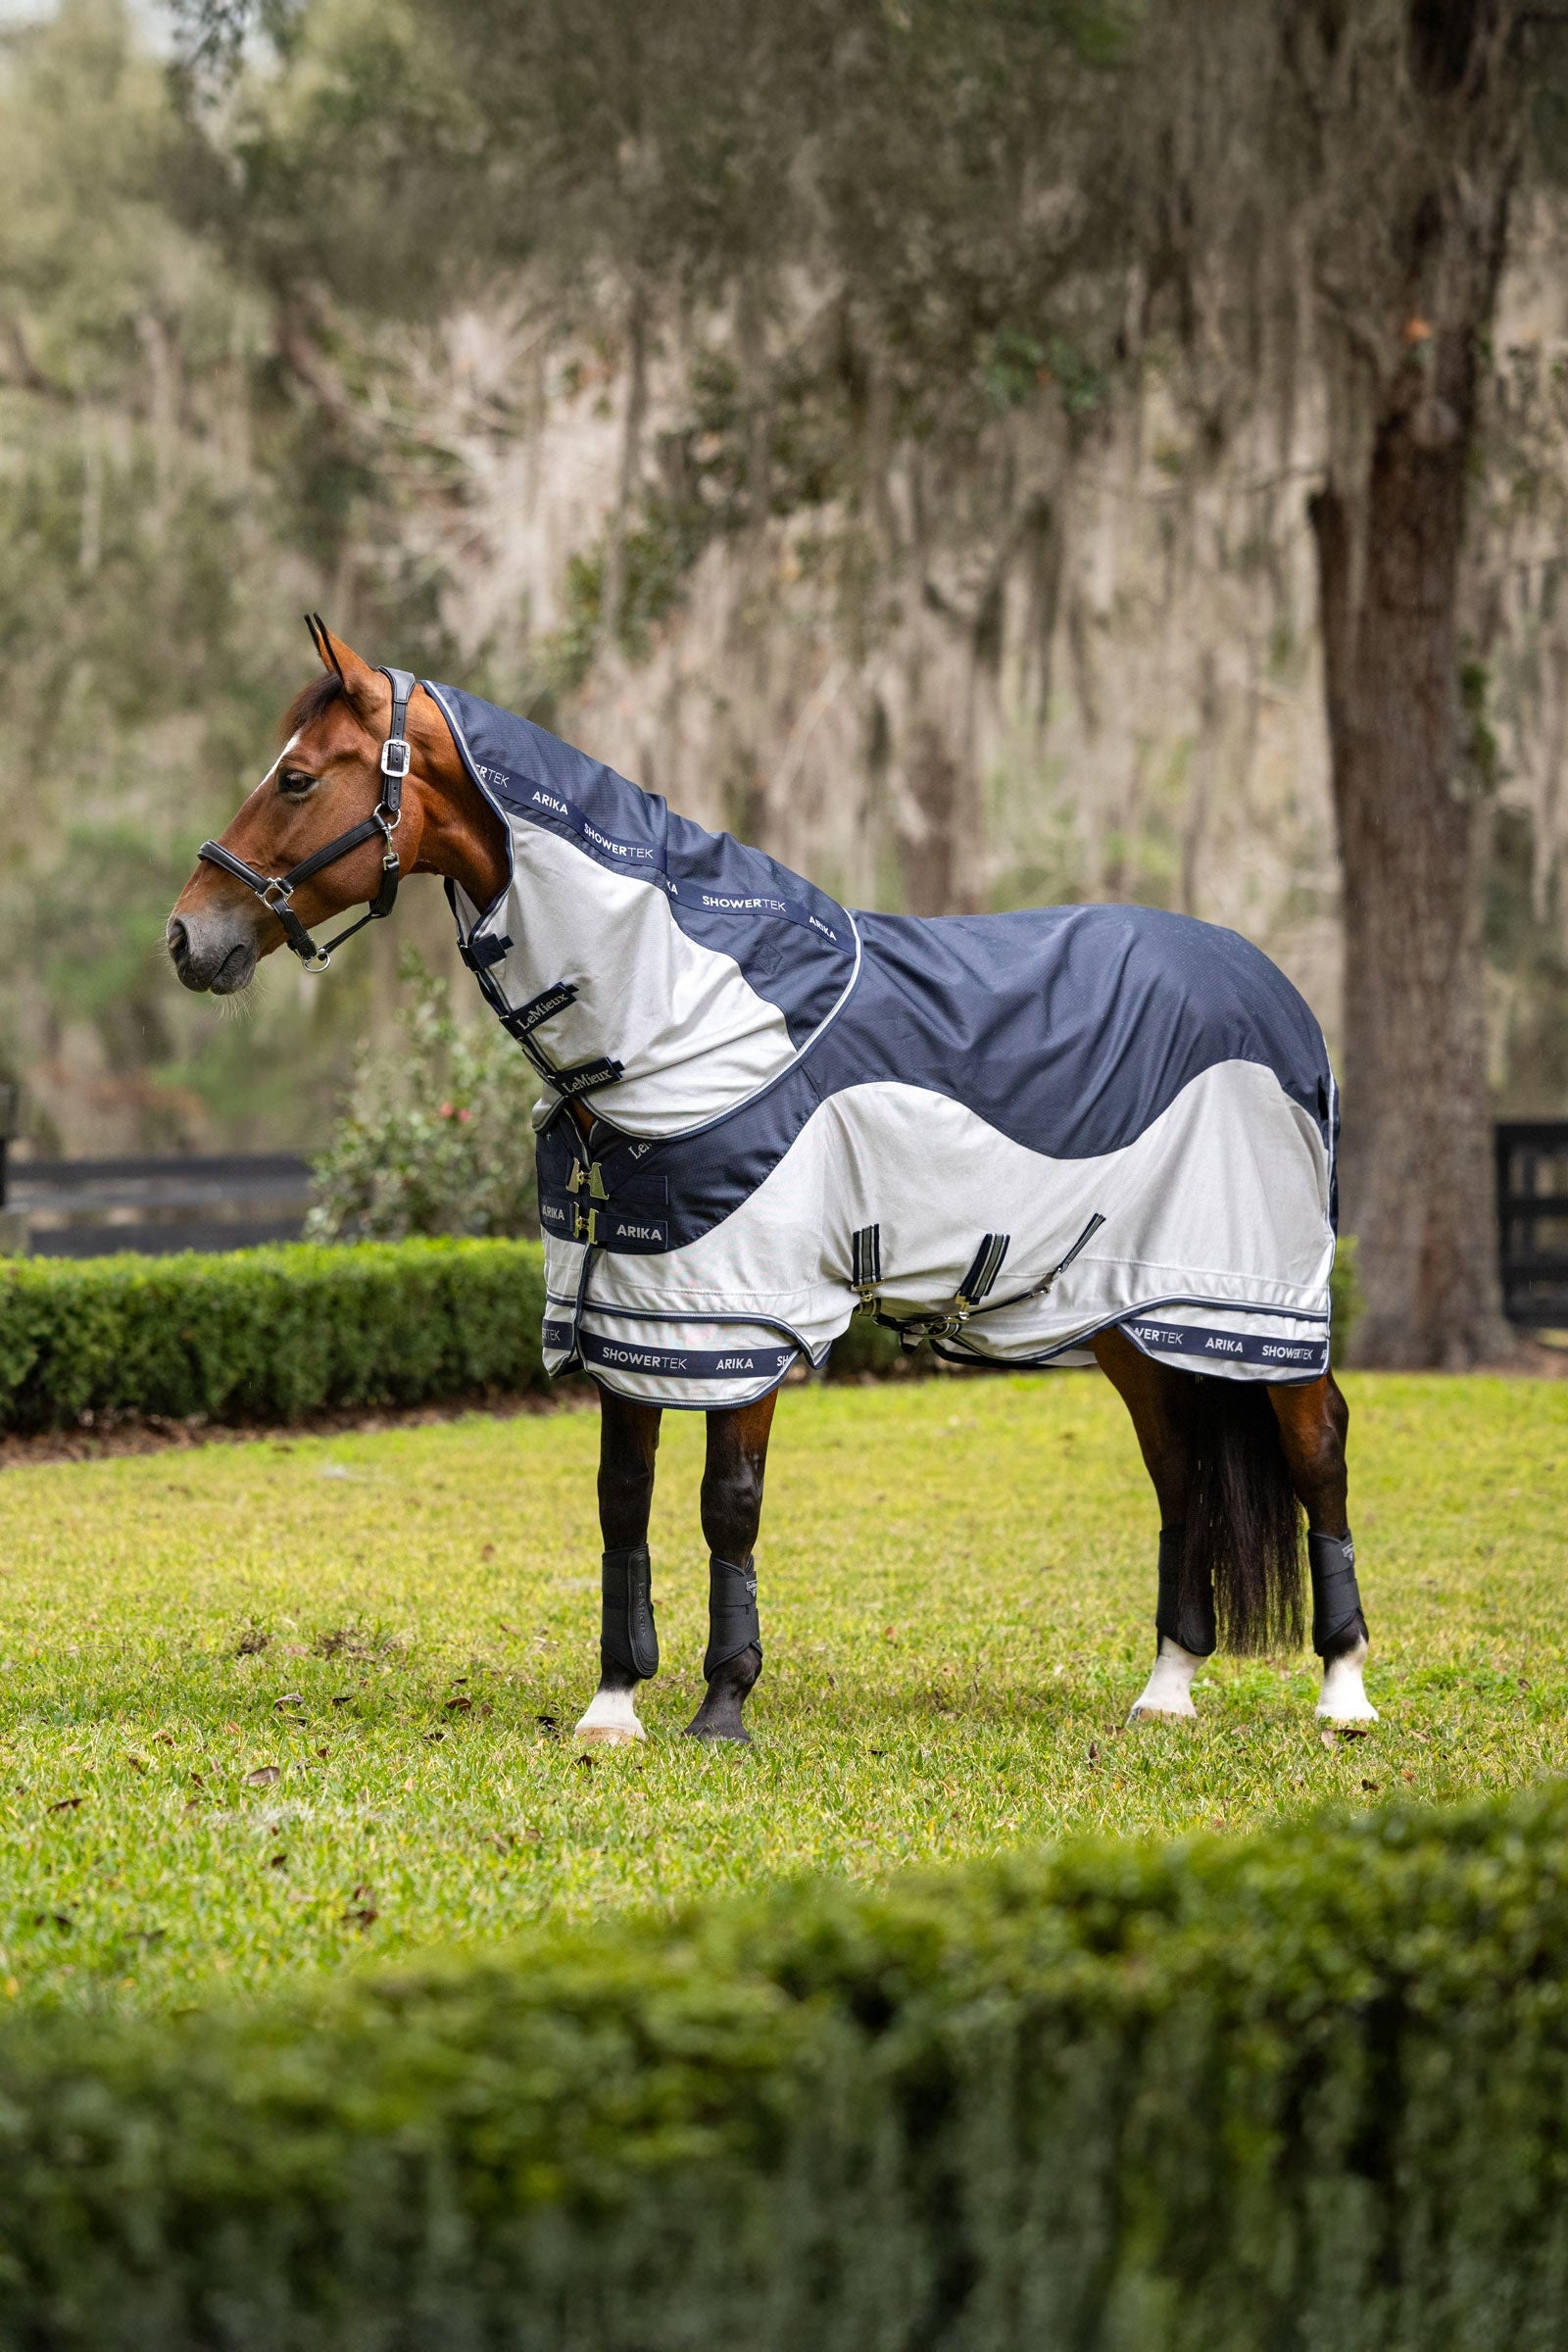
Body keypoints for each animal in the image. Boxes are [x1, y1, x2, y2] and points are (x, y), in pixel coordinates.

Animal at [167, 620, 1374, 1743]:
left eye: (296, 777)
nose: (188, 936)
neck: (689, 1021)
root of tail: (1275, 992)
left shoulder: (742, 1319)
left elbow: (726, 1506)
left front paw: (722, 1703)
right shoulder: (634, 1316)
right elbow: (622, 1502)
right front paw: (614, 1705)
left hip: (1264, 1306)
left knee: (1317, 1449)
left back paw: (1343, 1691)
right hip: (1135, 1313)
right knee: (1182, 1471)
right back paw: (1166, 1689)